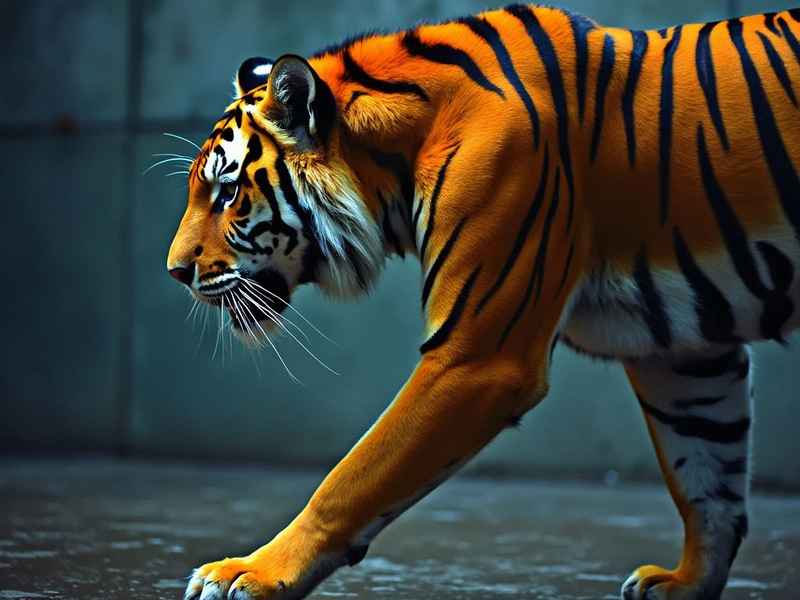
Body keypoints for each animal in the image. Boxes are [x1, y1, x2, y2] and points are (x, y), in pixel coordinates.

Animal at [165, 3, 800, 599]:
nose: (175, 271)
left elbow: (350, 478)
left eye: (227, 192)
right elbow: (708, 479)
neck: (393, 162)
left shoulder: (476, 358)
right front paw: (687, 583)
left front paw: (251, 573)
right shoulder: (682, 351)